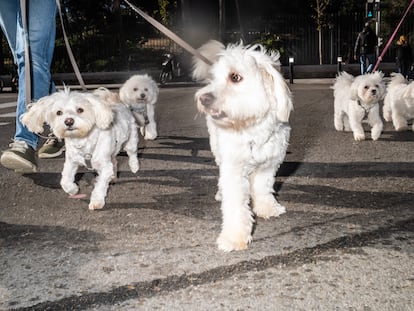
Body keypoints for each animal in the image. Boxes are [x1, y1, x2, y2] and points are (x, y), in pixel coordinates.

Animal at [195, 40, 294, 252]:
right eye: (214, 79)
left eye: (235, 77)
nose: (203, 99)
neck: (252, 129)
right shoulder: (233, 169)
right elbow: (235, 205)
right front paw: (234, 237)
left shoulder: (269, 165)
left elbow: (263, 187)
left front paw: (267, 207)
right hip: (218, 150)